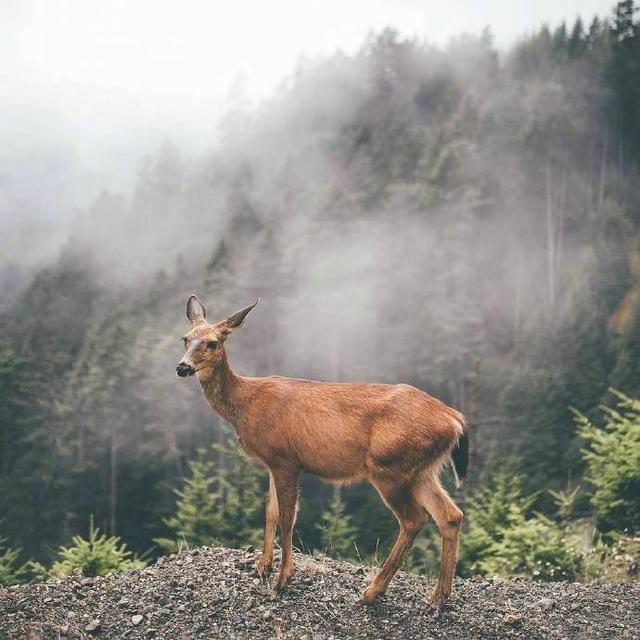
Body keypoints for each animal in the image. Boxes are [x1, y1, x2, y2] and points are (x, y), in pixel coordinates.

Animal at [178, 296, 468, 608]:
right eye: (185, 339)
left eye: (212, 343)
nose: (182, 367)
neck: (246, 405)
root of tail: (455, 419)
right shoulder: (273, 462)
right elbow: (270, 511)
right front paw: (261, 567)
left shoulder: (285, 459)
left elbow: (287, 517)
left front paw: (282, 578)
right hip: (421, 470)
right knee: (450, 515)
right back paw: (439, 596)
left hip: (390, 466)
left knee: (414, 519)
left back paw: (372, 591)